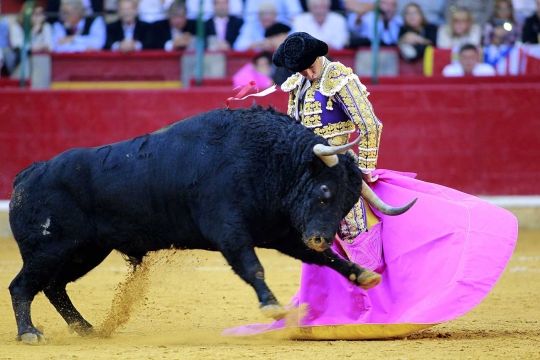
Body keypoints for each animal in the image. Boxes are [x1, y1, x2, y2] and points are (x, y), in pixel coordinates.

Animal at [7, 105, 414, 344]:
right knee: (21, 286)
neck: (267, 159)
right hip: (49, 249)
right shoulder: (229, 232)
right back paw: (30, 333)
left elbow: (326, 259)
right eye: (325, 191)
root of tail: (28, 175)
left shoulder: (282, 233)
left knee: (54, 287)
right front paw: (273, 307)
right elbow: (253, 266)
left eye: (349, 201)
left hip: (84, 251)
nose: (320, 237)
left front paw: (364, 275)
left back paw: (87, 330)